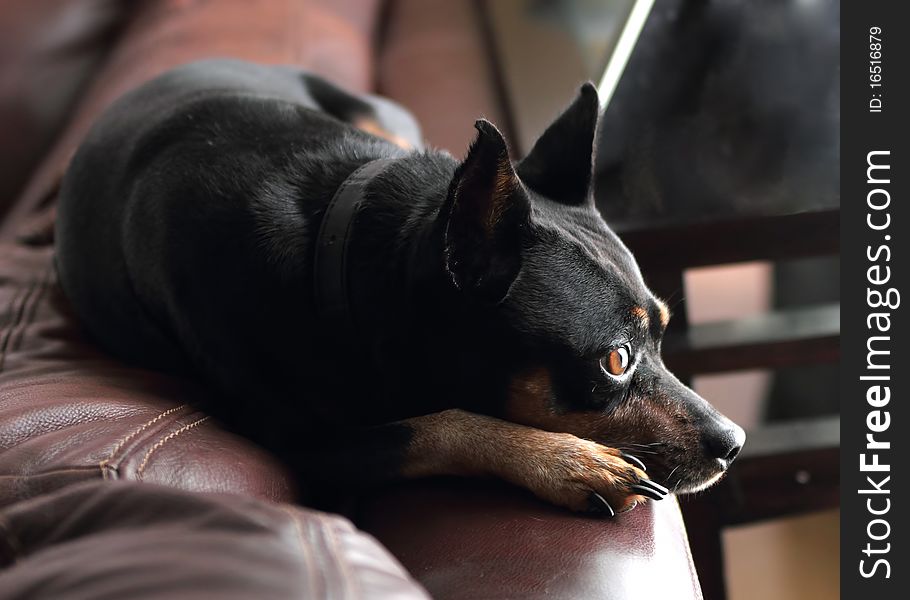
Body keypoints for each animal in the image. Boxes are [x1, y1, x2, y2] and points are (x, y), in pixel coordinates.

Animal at [55, 58, 740, 516]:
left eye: (663, 335)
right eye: (615, 361)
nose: (732, 442)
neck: (337, 247)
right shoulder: (304, 445)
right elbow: (439, 423)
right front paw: (569, 461)